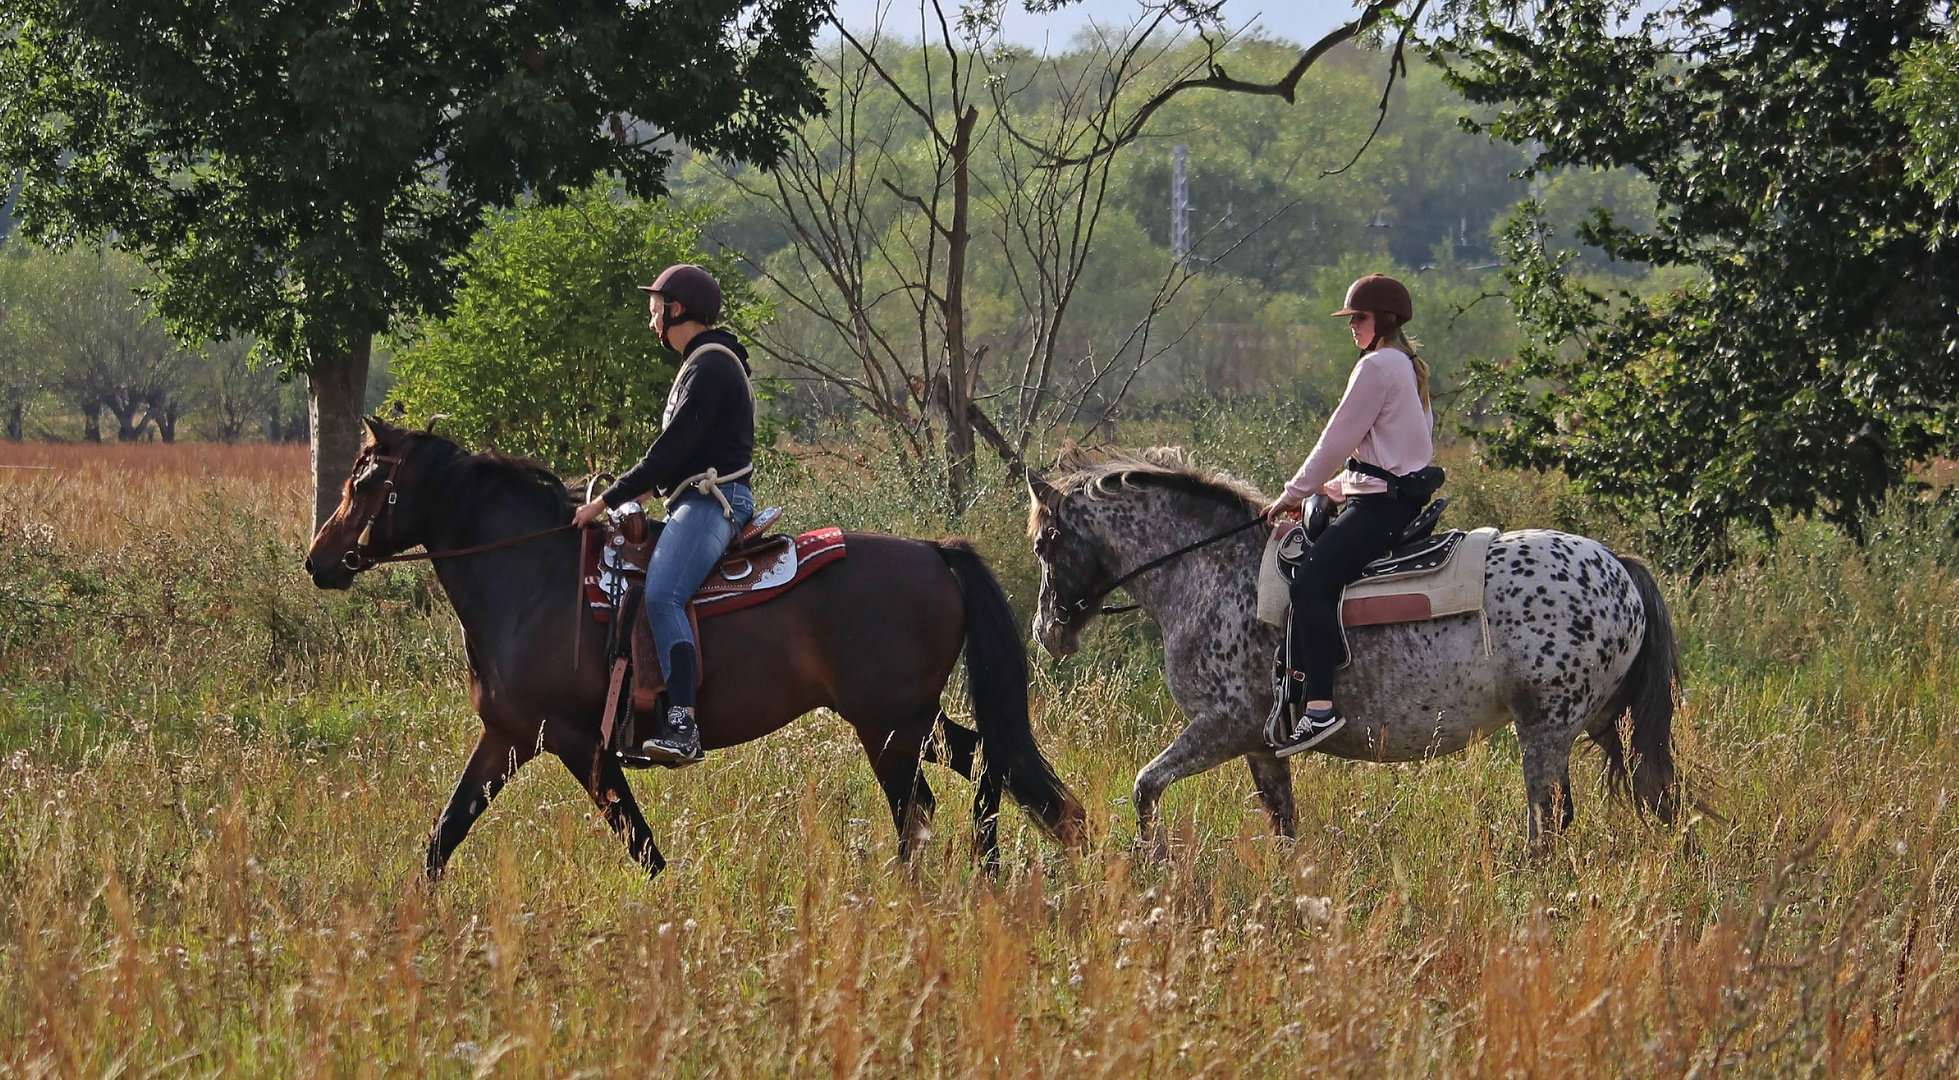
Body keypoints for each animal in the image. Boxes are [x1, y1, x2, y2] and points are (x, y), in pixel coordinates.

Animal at [301, 415, 1089, 878]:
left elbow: (642, 845)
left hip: (887, 725)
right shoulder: (509, 736)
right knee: (982, 760)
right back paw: (986, 871)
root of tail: (935, 552)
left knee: (921, 807)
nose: (319, 560)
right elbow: (443, 836)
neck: (533, 578)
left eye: (364, 481)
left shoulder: (573, 741)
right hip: (907, 719)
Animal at [1026, 450, 1684, 854]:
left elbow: (1145, 785)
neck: (1209, 570)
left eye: (1042, 542)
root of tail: (1618, 567)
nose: (1046, 631)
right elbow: (1284, 825)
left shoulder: (1223, 726)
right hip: (1596, 724)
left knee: (1545, 825)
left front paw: (1153, 864)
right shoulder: (1262, 744)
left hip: (1544, 729)